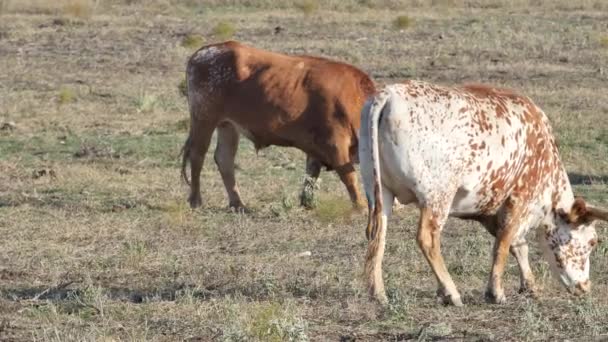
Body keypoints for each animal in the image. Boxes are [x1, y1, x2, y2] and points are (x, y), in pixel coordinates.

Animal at [179, 40, 376, 211]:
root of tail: (204, 51)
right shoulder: (335, 143)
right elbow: (349, 176)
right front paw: (361, 206)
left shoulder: (315, 150)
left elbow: (311, 176)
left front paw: (307, 203)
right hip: (204, 119)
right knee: (197, 155)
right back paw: (196, 200)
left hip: (227, 125)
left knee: (224, 158)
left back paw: (238, 203)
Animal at [358, 81, 604, 308]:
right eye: (592, 242)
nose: (585, 286)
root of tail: (389, 94)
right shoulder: (519, 199)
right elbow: (503, 245)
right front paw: (496, 292)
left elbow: (517, 245)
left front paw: (529, 285)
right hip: (438, 196)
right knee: (427, 238)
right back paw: (451, 292)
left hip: (378, 190)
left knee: (378, 236)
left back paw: (378, 293)